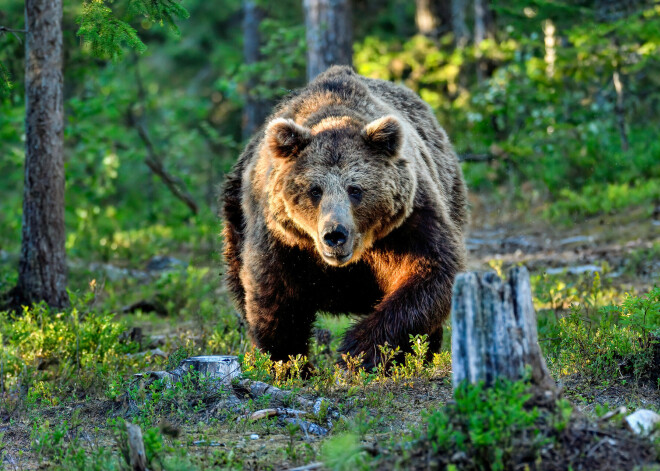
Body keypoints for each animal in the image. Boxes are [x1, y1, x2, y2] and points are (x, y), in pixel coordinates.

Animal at [224, 66, 466, 370]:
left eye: (355, 189)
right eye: (314, 190)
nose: (335, 234)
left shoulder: (407, 224)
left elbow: (430, 272)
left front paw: (357, 351)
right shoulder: (282, 237)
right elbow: (273, 292)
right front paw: (287, 363)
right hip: (235, 217)